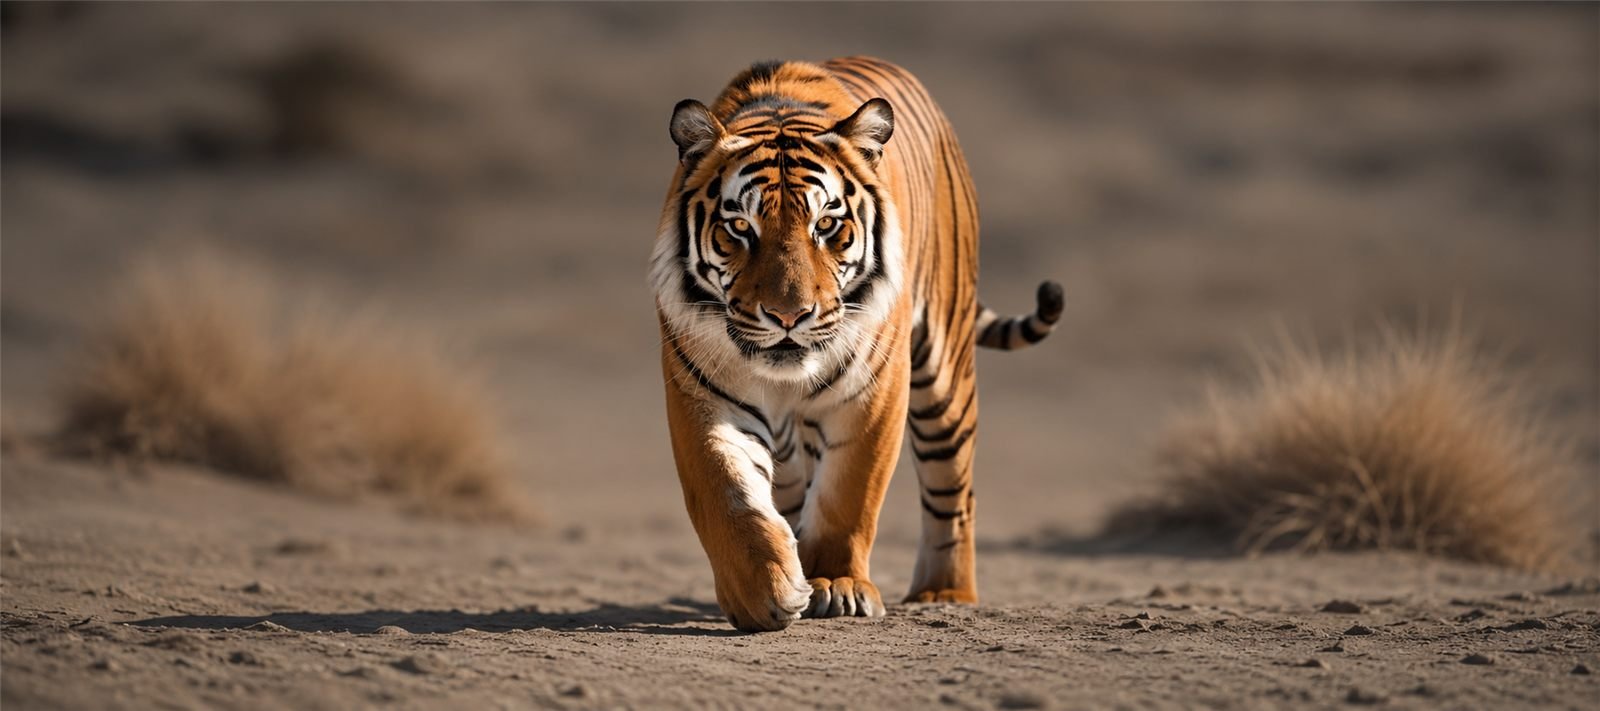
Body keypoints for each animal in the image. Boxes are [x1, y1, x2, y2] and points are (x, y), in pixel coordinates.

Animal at [651, 57, 1063, 632]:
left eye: (826, 224)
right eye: (739, 227)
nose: (788, 316)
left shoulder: (873, 392)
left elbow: (849, 495)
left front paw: (836, 584)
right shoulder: (700, 395)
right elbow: (725, 492)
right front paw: (766, 590)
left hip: (944, 381)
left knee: (953, 494)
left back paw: (944, 593)